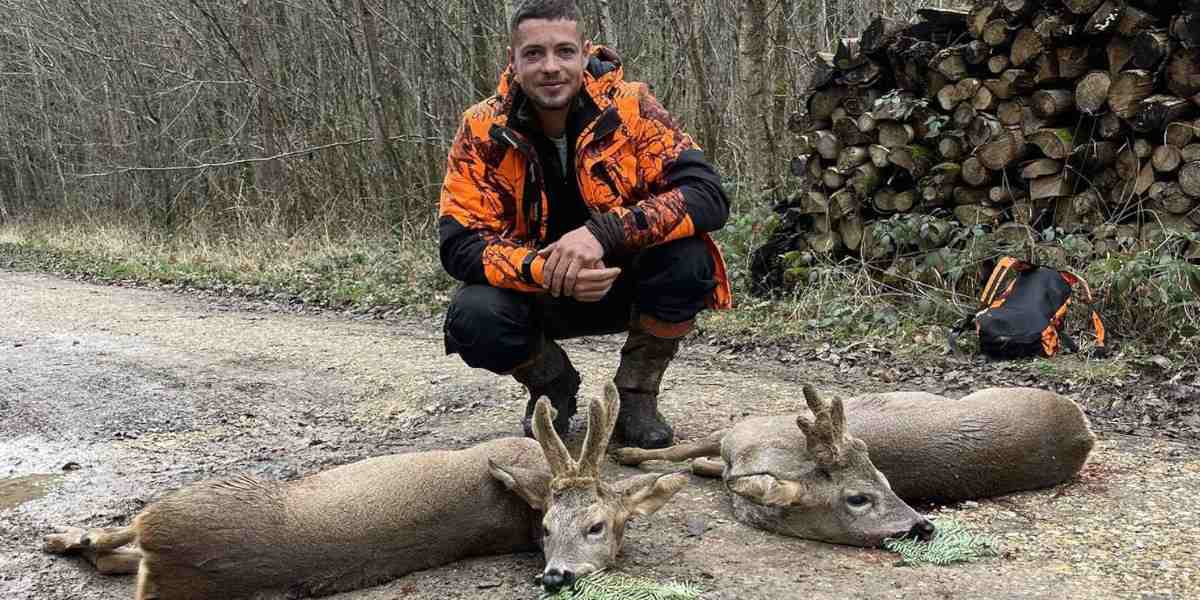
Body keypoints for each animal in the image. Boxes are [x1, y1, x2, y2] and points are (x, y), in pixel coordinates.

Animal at [44, 381, 686, 597]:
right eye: (550, 528)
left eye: (597, 527)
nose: (556, 575)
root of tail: (167, 546)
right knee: (117, 547)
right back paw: (68, 539)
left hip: (192, 497)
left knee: (118, 543)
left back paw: (66, 538)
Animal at [619, 384, 1099, 549]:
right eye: (859, 498)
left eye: (888, 482)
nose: (922, 527)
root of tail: (1084, 431)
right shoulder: (737, 435)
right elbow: (690, 455)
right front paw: (632, 455)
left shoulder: (746, 428)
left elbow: (687, 453)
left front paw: (630, 456)